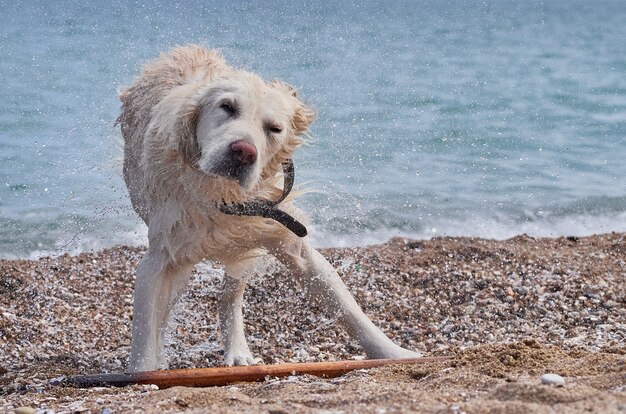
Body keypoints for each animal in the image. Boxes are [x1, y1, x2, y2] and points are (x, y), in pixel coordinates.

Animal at [117, 45, 420, 372]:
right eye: (226, 107)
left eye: (274, 128)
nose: (243, 152)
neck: (221, 195)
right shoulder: (159, 257)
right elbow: (146, 329)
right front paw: (143, 371)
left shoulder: (283, 233)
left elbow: (347, 308)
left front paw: (394, 353)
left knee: (230, 295)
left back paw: (237, 350)